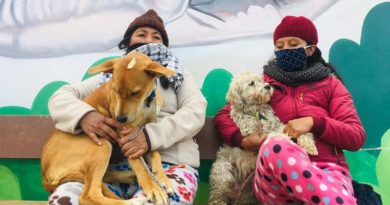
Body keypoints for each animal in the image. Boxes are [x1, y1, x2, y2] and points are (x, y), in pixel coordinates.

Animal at [41, 52, 174, 205]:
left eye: (135, 93)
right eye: (115, 90)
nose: (119, 119)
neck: (145, 104)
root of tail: (44, 172)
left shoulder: (142, 134)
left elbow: (155, 153)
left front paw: (163, 178)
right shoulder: (127, 137)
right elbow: (139, 165)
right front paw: (152, 186)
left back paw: (129, 176)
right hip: (102, 146)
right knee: (88, 195)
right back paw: (131, 201)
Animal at [210, 71, 316, 204]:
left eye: (260, 80)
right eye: (251, 83)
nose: (268, 86)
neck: (258, 113)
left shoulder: (276, 126)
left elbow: (292, 129)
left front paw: (309, 145)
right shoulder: (256, 135)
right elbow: (276, 136)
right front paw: (286, 140)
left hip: (248, 191)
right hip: (222, 174)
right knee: (217, 196)